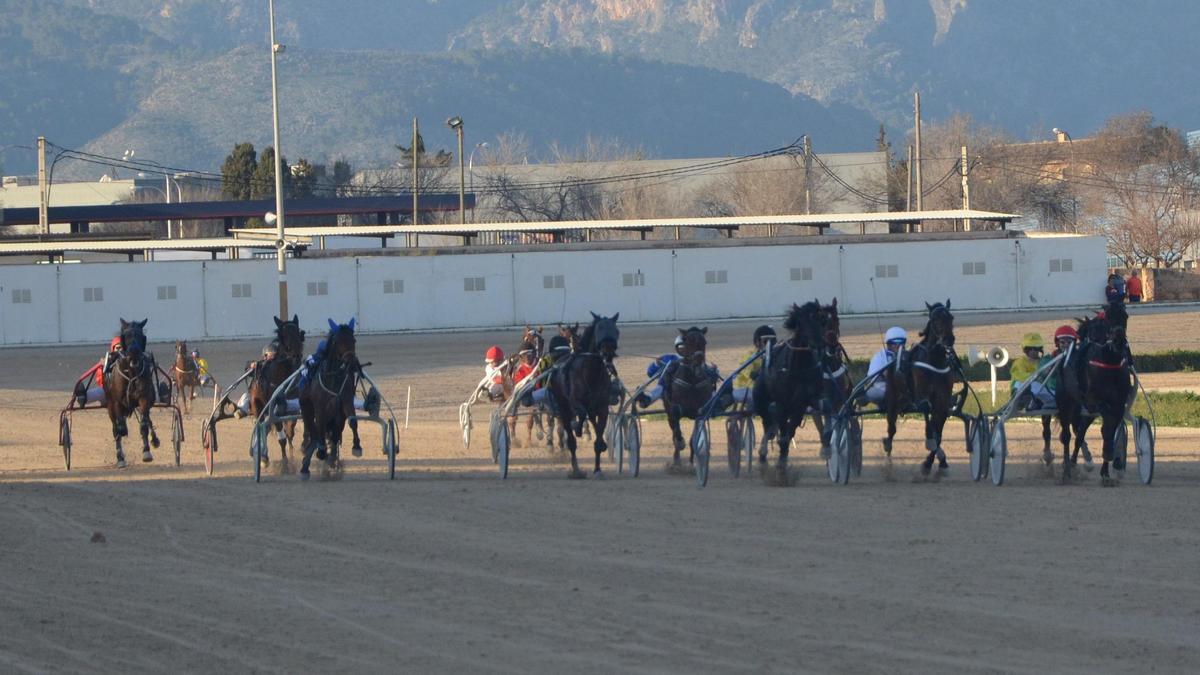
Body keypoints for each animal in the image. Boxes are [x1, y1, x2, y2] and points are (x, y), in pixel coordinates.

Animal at [103, 319, 159, 468]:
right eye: (126, 335)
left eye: (140, 335)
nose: (134, 352)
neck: (131, 372)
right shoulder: (116, 401)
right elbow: (119, 428)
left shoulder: (144, 398)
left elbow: (144, 424)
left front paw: (147, 452)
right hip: (110, 407)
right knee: (116, 429)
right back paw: (120, 458)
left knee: (147, 419)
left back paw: (154, 439)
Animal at [246, 314, 304, 468]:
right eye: (282, 334)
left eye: (299, 332)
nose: (296, 355)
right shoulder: (274, 409)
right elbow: (280, 436)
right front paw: (284, 461)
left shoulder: (292, 407)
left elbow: (290, 432)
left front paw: (293, 453)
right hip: (257, 407)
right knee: (261, 426)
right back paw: (264, 457)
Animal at [547, 312, 619, 475]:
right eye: (599, 329)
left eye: (616, 330)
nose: (609, 352)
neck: (591, 372)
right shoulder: (575, 401)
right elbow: (581, 413)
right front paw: (578, 427)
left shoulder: (602, 407)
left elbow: (598, 434)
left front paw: (597, 469)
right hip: (562, 405)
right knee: (571, 438)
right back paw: (576, 470)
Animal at [662, 324, 715, 461]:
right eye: (688, 341)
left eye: (704, 342)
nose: (698, 362)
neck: (692, 383)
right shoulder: (675, 408)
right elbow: (677, 431)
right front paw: (680, 444)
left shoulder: (699, 413)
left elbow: (694, 438)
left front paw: (692, 460)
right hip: (667, 408)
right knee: (673, 427)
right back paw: (676, 457)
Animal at [753, 302, 830, 470]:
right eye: (802, 322)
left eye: (821, 320)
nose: (819, 344)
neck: (797, 368)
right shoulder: (782, 403)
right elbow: (781, 430)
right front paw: (780, 457)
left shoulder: (801, 404)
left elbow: (790, 431)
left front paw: (783, 456)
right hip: (760, 400)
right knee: (767, 422)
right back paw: (763, 451)